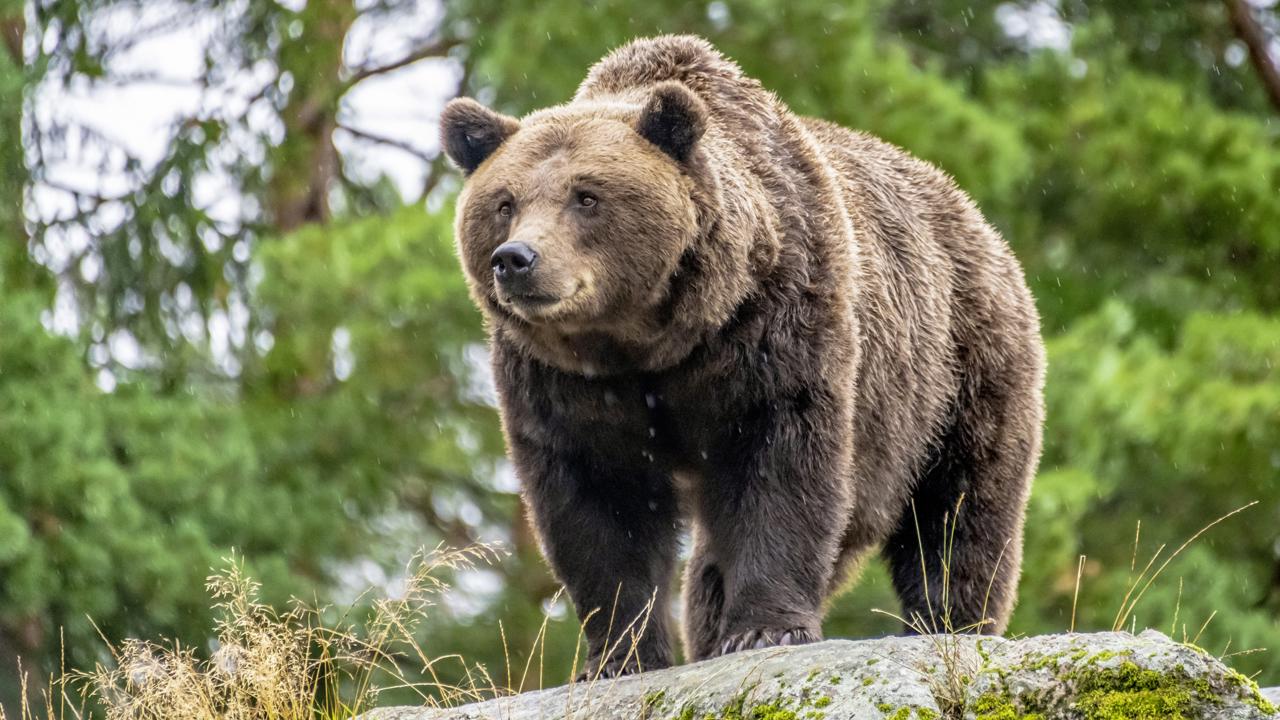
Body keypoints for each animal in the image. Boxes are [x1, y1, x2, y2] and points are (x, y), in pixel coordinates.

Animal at [437, 32, 1039, 671]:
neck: (649, 342)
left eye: (587, 195)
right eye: (505, 202)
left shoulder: (776, 327)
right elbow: (598, 503)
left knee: (960, 507)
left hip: (957, 368)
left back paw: (951, 622)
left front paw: (764, 630)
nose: (516, 259)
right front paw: (621, 655)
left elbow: (781, 467)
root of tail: (972, 214)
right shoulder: (562, 382)